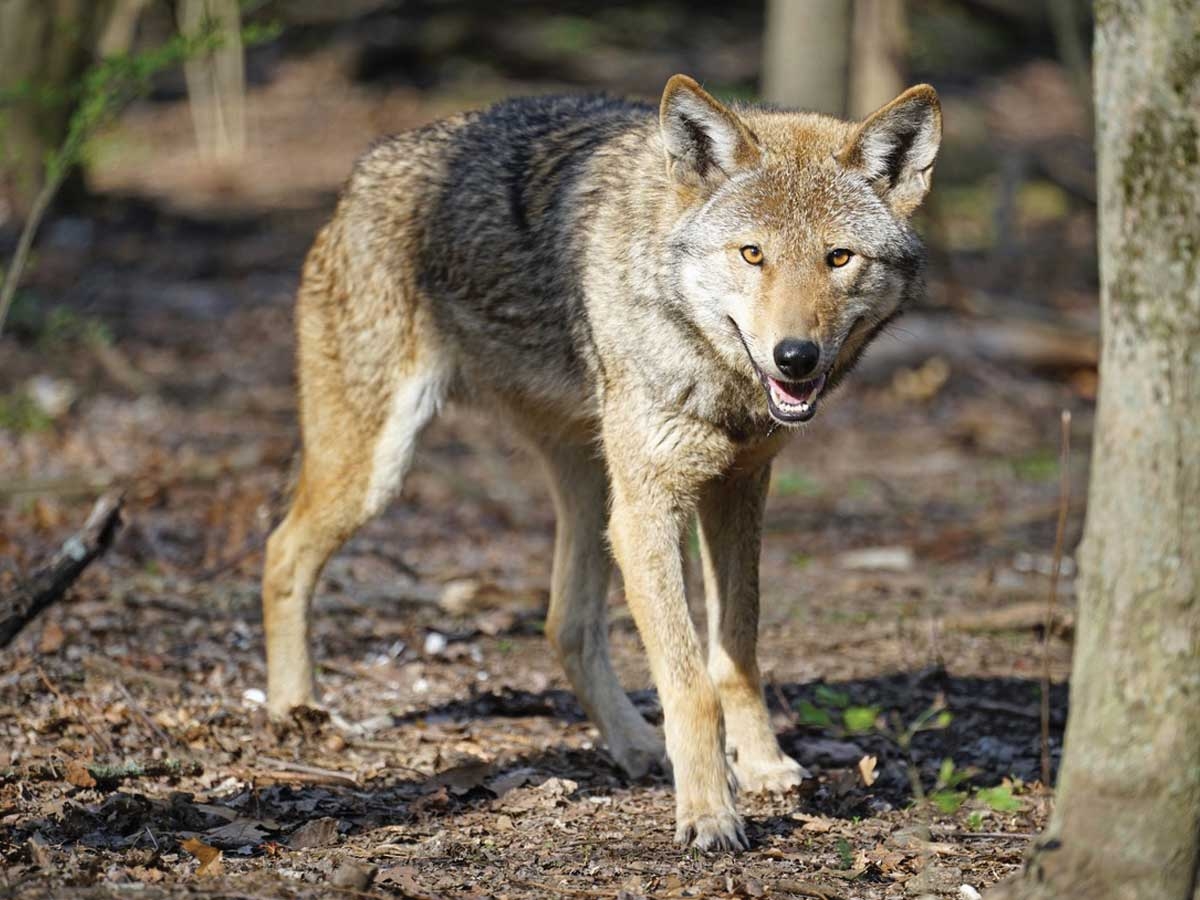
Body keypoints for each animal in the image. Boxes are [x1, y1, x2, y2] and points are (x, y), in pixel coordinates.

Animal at [260, 72, 936, 854]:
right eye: (752, 254)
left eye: (838, 258)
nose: (795, 357)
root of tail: (361, 171)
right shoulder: (651, 511)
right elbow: (690, 684)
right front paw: (709, 814)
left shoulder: (736, 490)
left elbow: (736, 654)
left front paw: (763, 768)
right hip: (380, 470)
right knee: (282, 551)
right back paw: (294, 710)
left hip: (591, 485)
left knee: (565, 623)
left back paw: (636, 747)